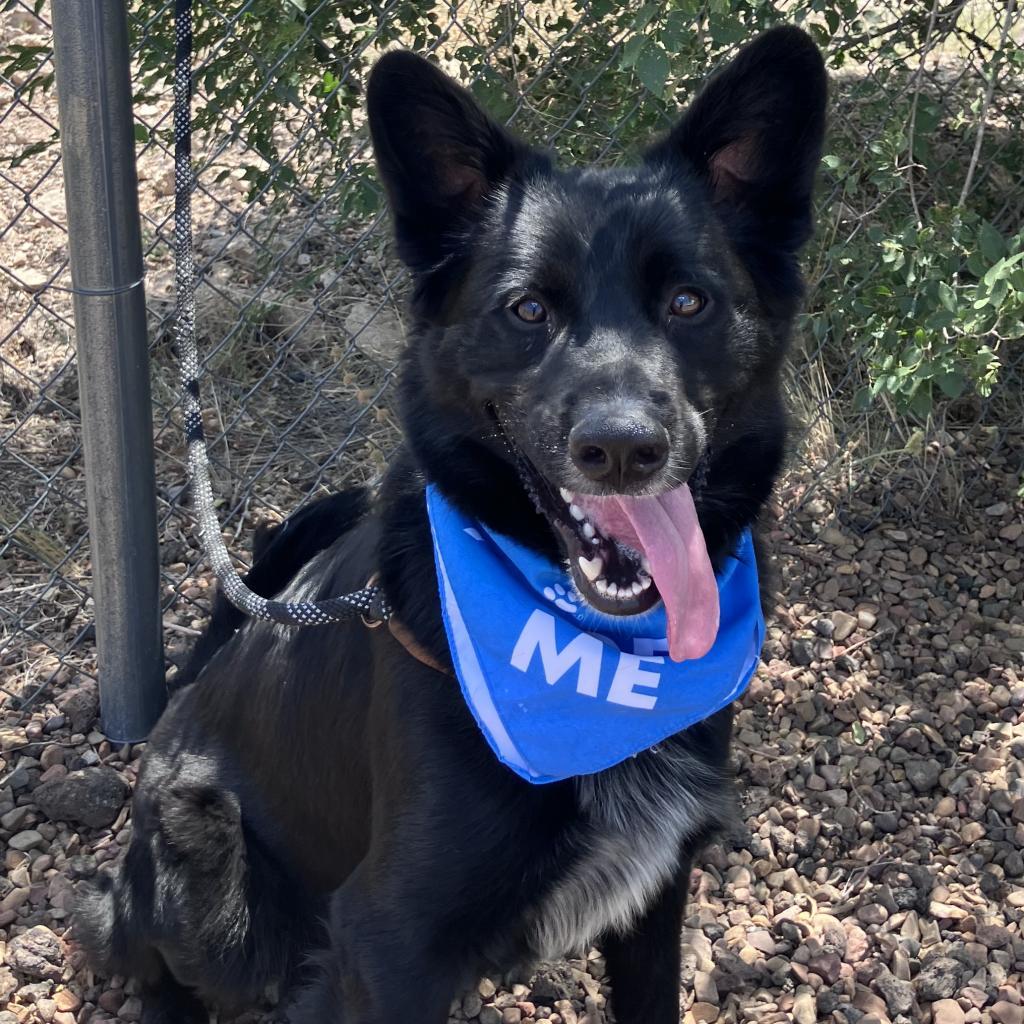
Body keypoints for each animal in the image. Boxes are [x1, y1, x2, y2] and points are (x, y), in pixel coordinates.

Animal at [75, 25, 823, 1024]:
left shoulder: (655, 895)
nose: (623, 448)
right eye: (528, 309)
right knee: (142, 952)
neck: (587, 656)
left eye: (688, 302)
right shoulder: (390, 939)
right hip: (209, 864)